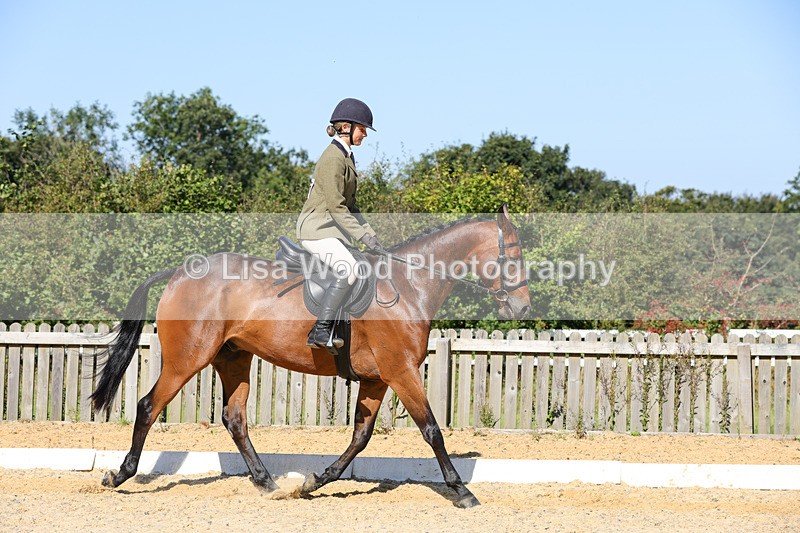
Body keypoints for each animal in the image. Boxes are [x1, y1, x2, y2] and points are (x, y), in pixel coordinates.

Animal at [90, 204, 531, 508]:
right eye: (511, 258)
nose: (523, 309)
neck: (408, 285)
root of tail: (180, 273)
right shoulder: (401, 372)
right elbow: (432, 431)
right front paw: (461, 491)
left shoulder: (376, 379)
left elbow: (360, 437)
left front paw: (314, 482)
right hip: (187, 359)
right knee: (149, 406)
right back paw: (120, 475)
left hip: (234, 359)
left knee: (235, 419)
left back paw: (267, 482)